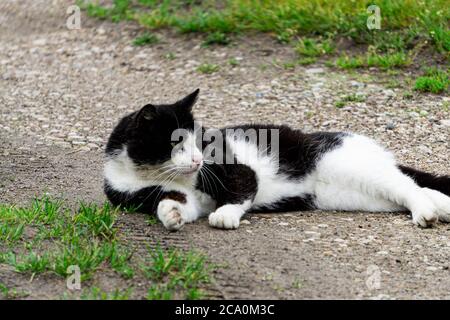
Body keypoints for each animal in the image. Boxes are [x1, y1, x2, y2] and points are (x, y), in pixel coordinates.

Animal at [103, 89, 450, 231]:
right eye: (177, 143)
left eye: (199, 140)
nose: (199, 159)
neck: (152, 174)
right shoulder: (147, 193)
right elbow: (176, 203)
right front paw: (171, 215)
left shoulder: (234, 169)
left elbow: (242, 189)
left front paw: (224, 215)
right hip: (357, 195)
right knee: (412, 189)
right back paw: (441, 208)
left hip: (353, 167)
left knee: (407, 186)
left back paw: (426, 213)